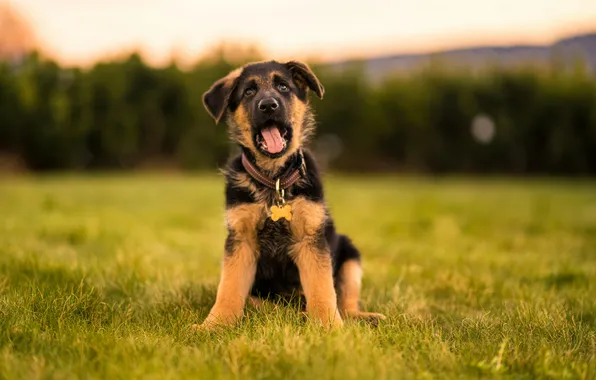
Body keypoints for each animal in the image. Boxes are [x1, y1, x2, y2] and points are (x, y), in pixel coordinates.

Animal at [197, 60, 386, 330]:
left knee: (345, 303)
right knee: (262, 305)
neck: (274, 179)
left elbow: (322, 289)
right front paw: (214, 325)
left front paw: (330, 327)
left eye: (283, 87)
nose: (268, 105)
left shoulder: (310, 240)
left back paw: (361, 317)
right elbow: (229, 289)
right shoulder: (241, 241)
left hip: (350, 256)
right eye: (248, 92)